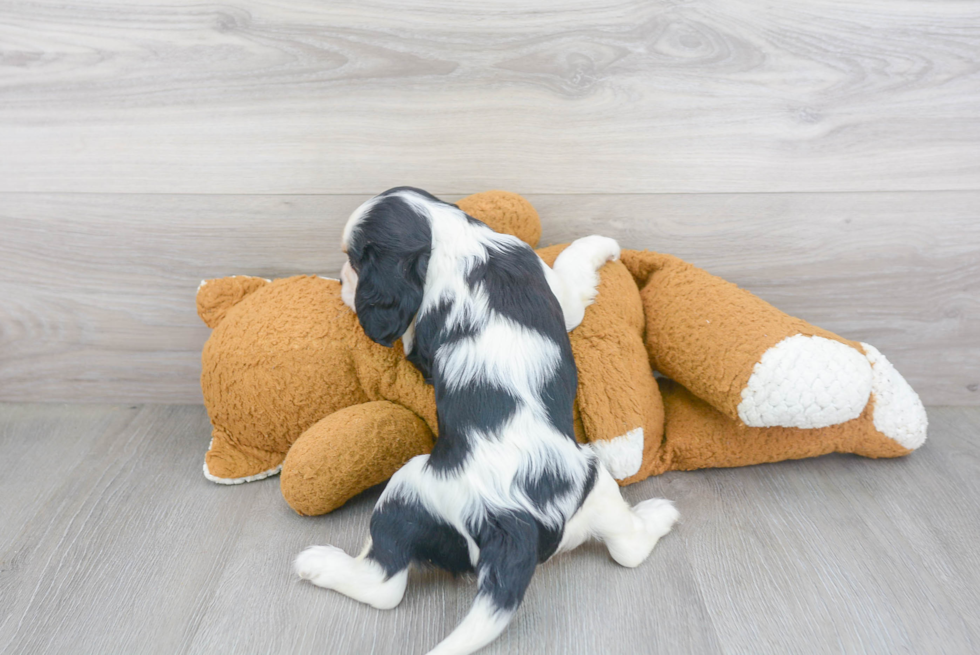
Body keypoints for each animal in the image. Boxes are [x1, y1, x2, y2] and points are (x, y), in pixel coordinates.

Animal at [290, 188, 676, 655]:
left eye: (355, 261)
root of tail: (510, 525)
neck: (451, 240)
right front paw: (603, 242)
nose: (342, 280)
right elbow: (572, 264)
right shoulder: (553, 290)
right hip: (572, 487)